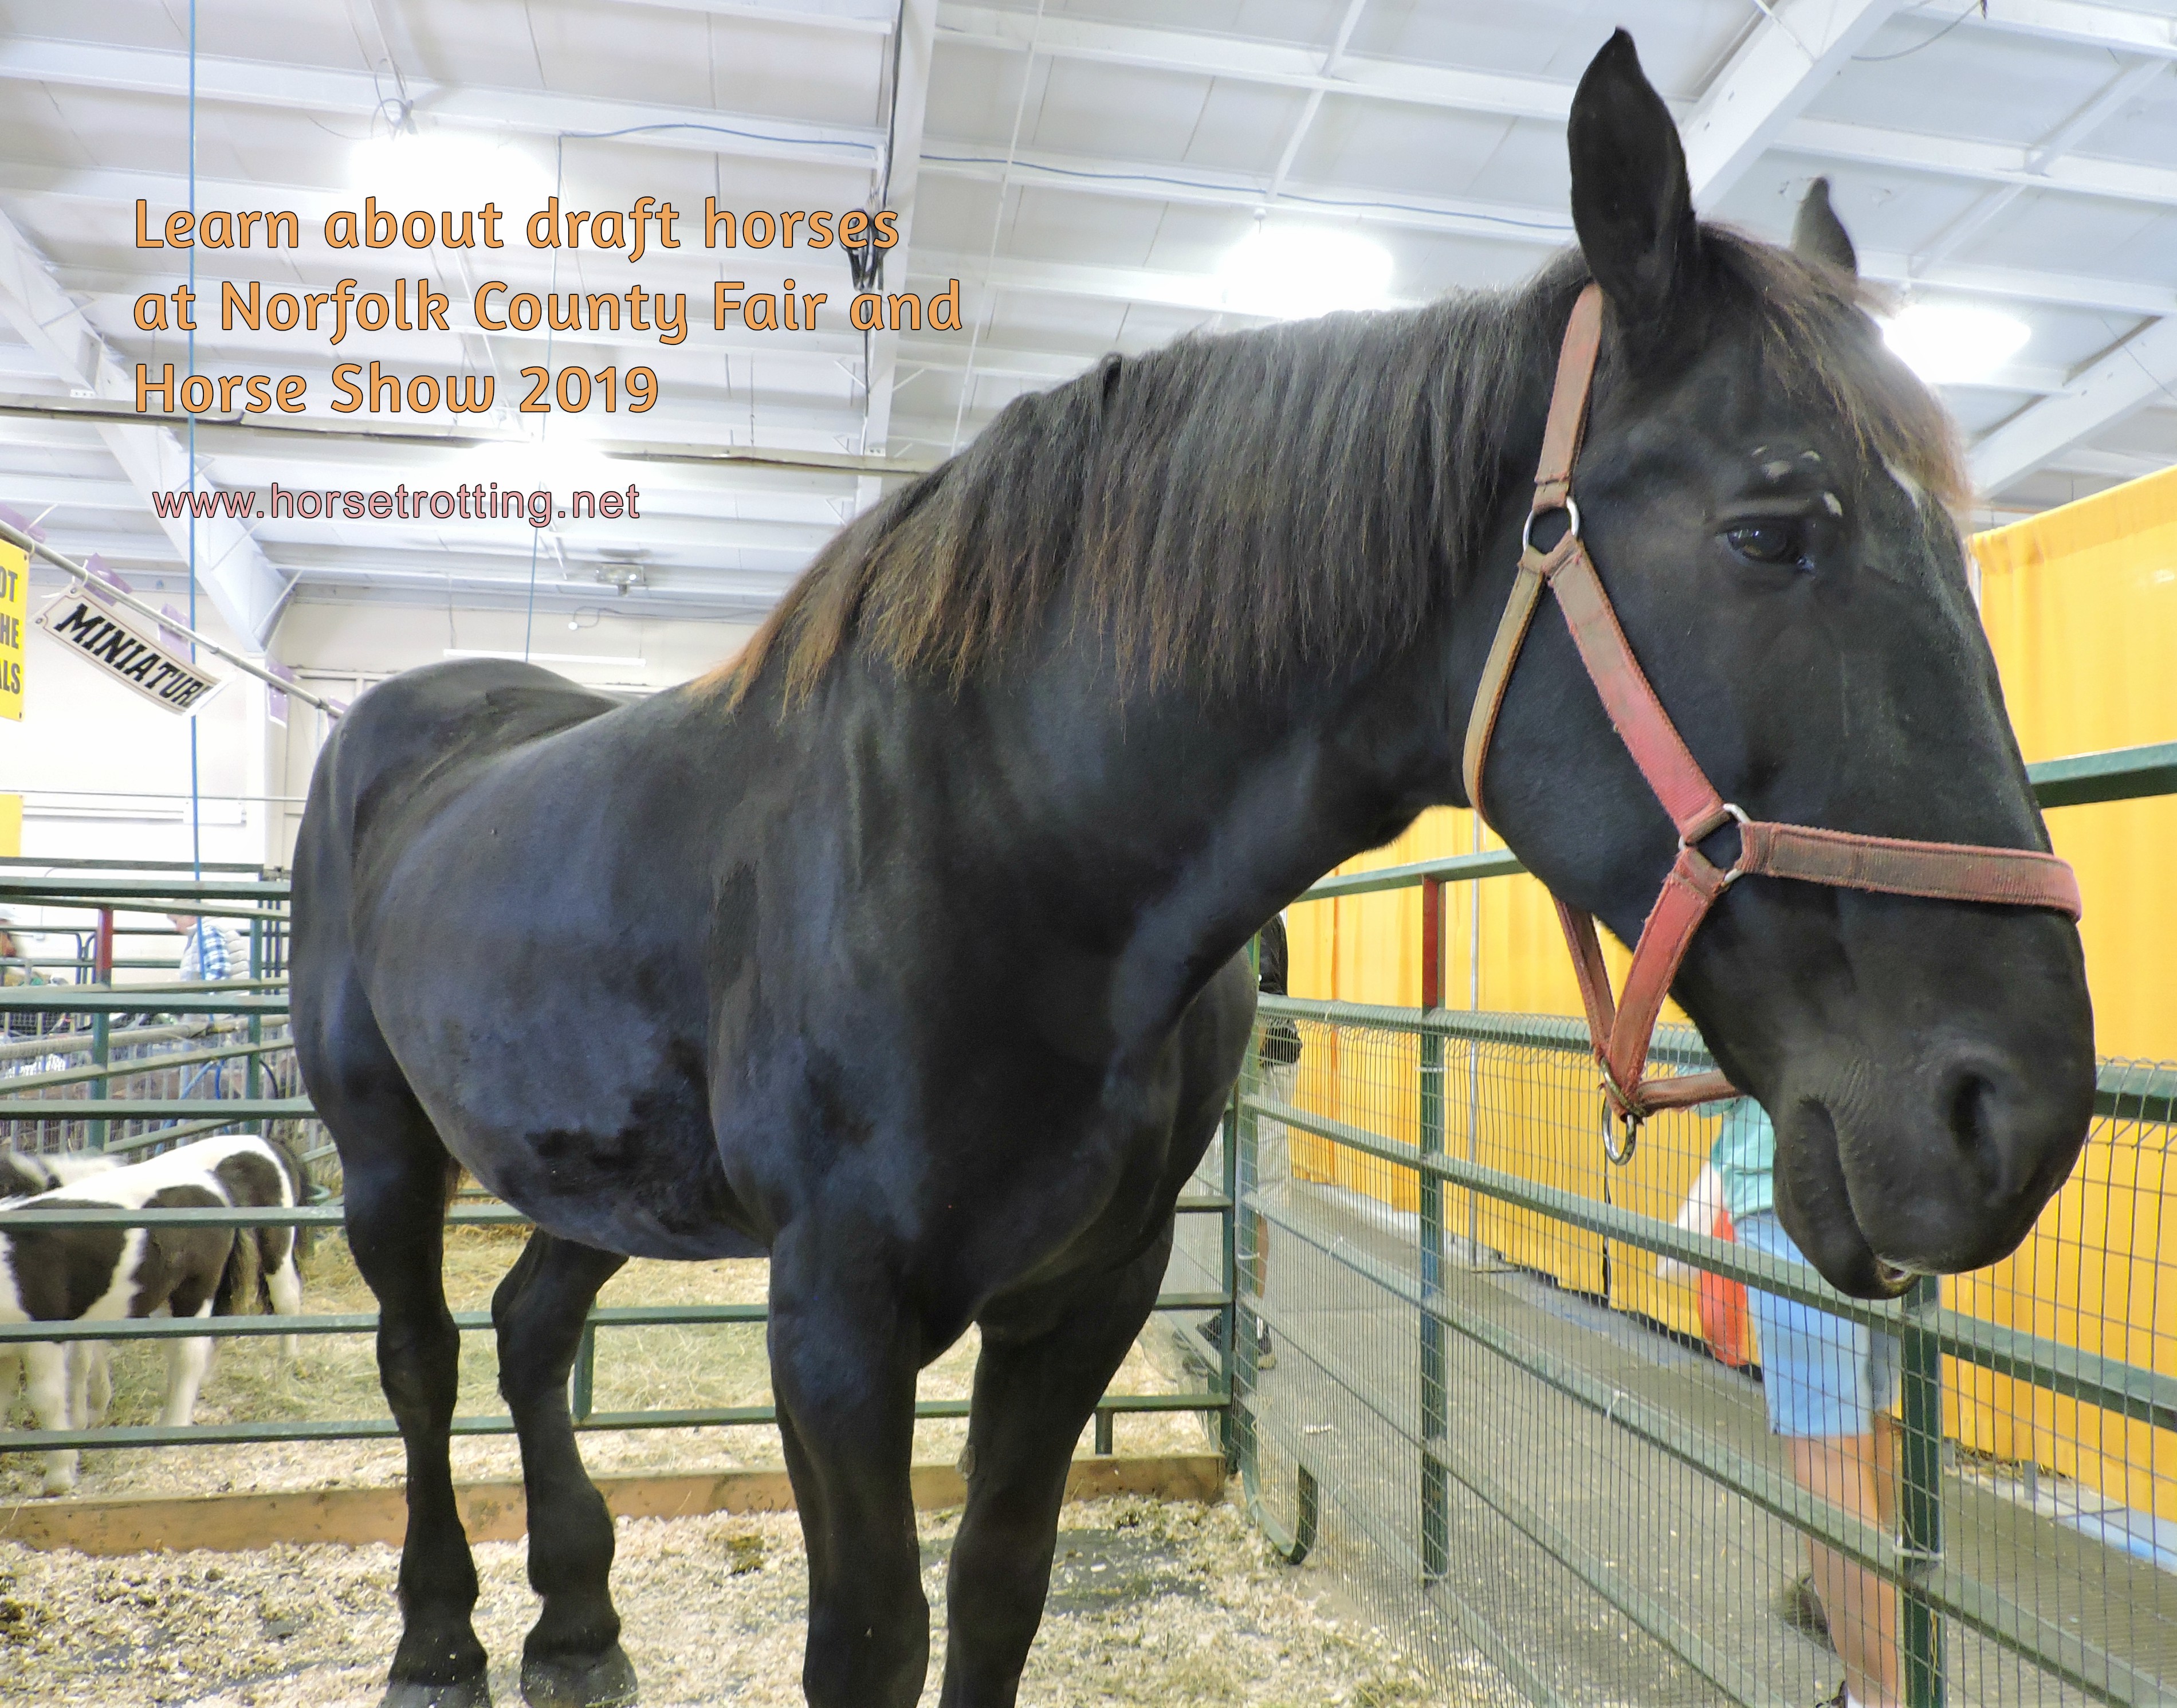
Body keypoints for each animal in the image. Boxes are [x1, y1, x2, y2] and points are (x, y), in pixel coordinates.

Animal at [289, 31, 2093, 1708]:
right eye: (1769, 531)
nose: (2014, 1114)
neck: (1003, 842)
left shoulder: (1084, 1296)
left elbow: (998, 1588)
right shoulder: (833, 1323)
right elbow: (868, 1639)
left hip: (592, 1169)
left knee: (530, 1325)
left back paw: (577, 1626)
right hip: (383, 1147)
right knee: (421, 1353)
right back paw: (441, 1633)